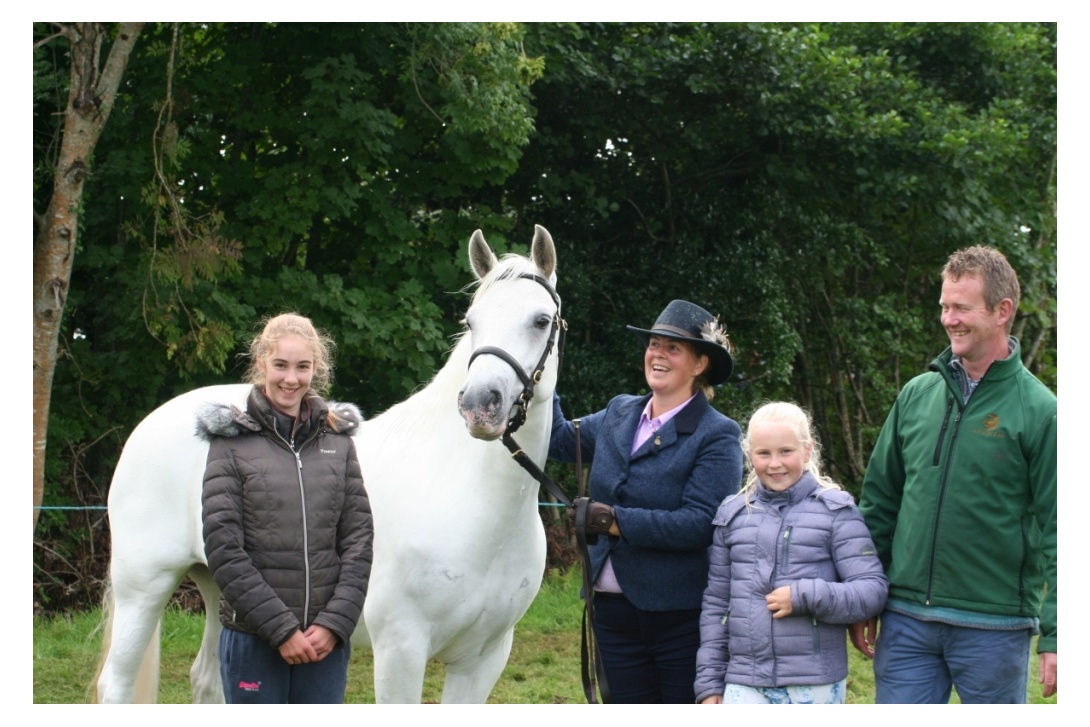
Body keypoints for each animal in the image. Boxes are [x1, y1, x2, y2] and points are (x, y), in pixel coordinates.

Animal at [93, 224, 562, 701]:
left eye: (542, 321)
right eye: (471, 322)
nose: (480, 405)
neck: (466, 499)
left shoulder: (483, 659)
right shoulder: (401, 649)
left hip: (219, 588)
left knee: (207, 680)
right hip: (144, 586)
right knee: (117, 682)